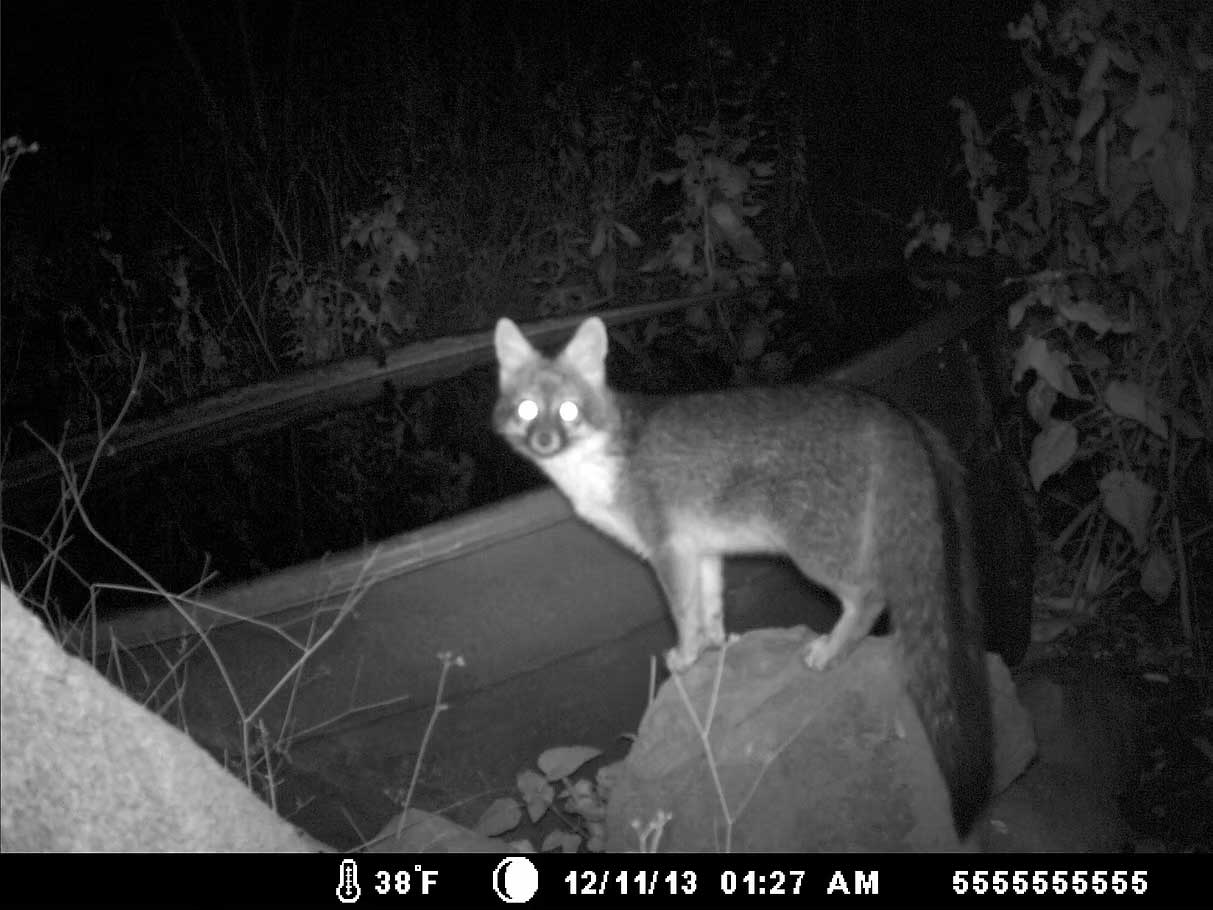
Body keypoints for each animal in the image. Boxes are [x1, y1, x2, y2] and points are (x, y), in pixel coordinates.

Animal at [492, 315, 993, 837]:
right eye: (528, 409)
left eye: (569, 410)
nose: (544, 441)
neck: (604, 456)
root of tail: (885, 405)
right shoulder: (704, 550)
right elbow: (710, 607)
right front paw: (716, 648)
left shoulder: (667, 551)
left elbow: (683, 614)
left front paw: (687, 656)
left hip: (814, 555)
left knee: (871, 597)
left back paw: (829, 652)